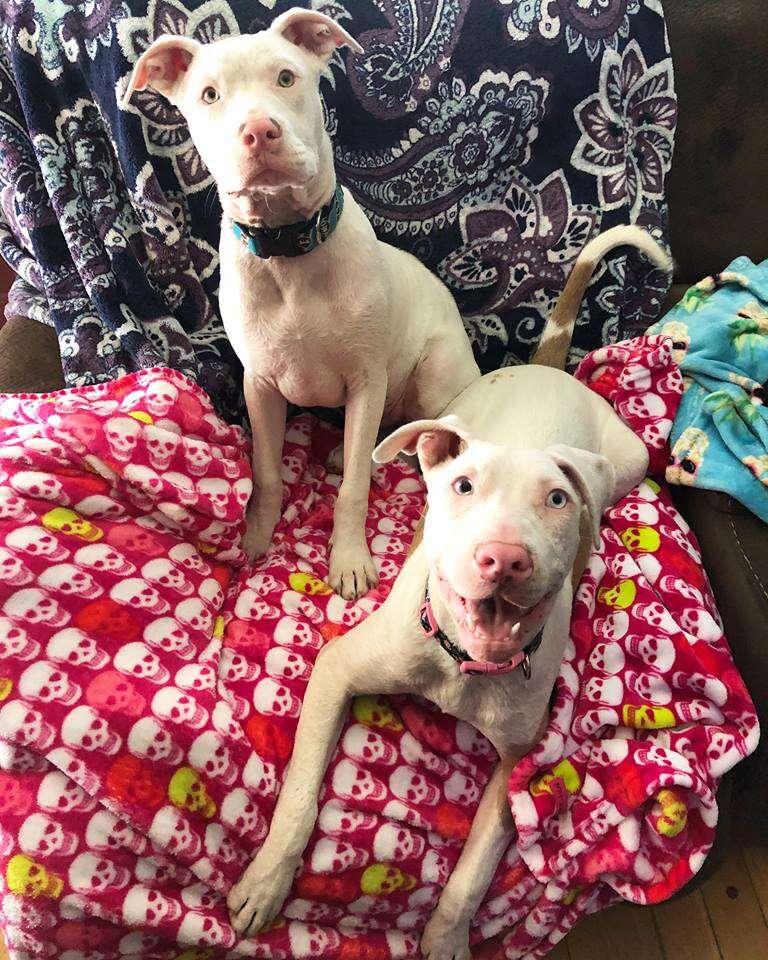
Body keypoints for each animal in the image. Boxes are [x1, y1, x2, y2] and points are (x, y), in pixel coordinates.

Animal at [122, 9, 476, 600]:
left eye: (286, 78)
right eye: (210, 94)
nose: (259, 132)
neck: (288, 251)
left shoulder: (365, 379)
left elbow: (354, 487)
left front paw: (349, 559)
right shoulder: (261, 386)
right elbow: (266, 472)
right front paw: (254, 537)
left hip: (431, 376)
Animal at [225, 223, 668, 952]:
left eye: (555, 500)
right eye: (463, 488)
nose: (504, 559)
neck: (460, 665)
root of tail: (547, 367)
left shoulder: (517, 763)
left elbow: (474, 871)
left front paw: (446, 939)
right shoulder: (337, 667)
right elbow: (299, 793)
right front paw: (264, 883)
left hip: (626, 462)